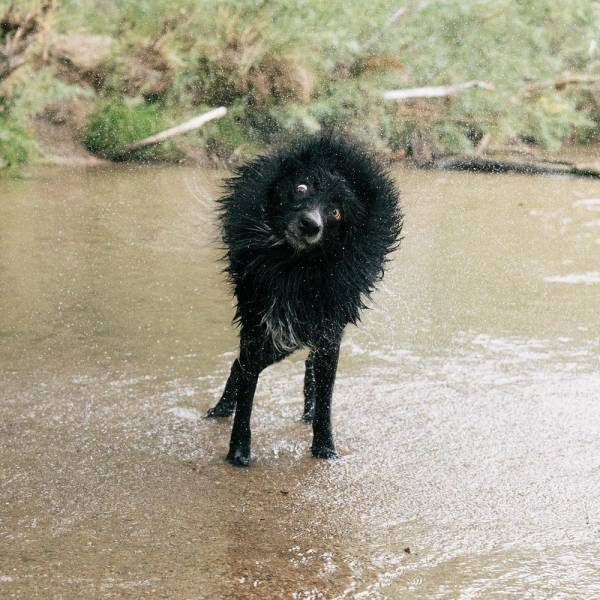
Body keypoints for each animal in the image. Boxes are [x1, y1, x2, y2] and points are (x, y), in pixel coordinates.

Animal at [207, 135, 404, 464]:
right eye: (301, 188)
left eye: (336, 212)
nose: (311, 225)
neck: (295, 267)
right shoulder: (260, 324)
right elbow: (248, 388)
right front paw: (239, 452)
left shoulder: (328, 333)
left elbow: (325, 397)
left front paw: (325, 449)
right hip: (279, 339)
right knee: (241, 365)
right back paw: (221, 410)